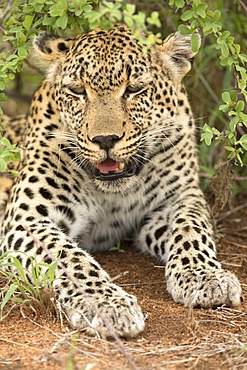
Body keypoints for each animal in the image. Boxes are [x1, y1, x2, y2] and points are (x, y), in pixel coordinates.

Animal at [0, 24, 242, 338]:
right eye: (78, 91)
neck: (112, 192)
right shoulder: (26, 219)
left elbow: (191, 229)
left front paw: (205, 277)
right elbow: (69, 257)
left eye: (134, 89)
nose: (105, 140)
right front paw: (106, 304)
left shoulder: (181, 197)